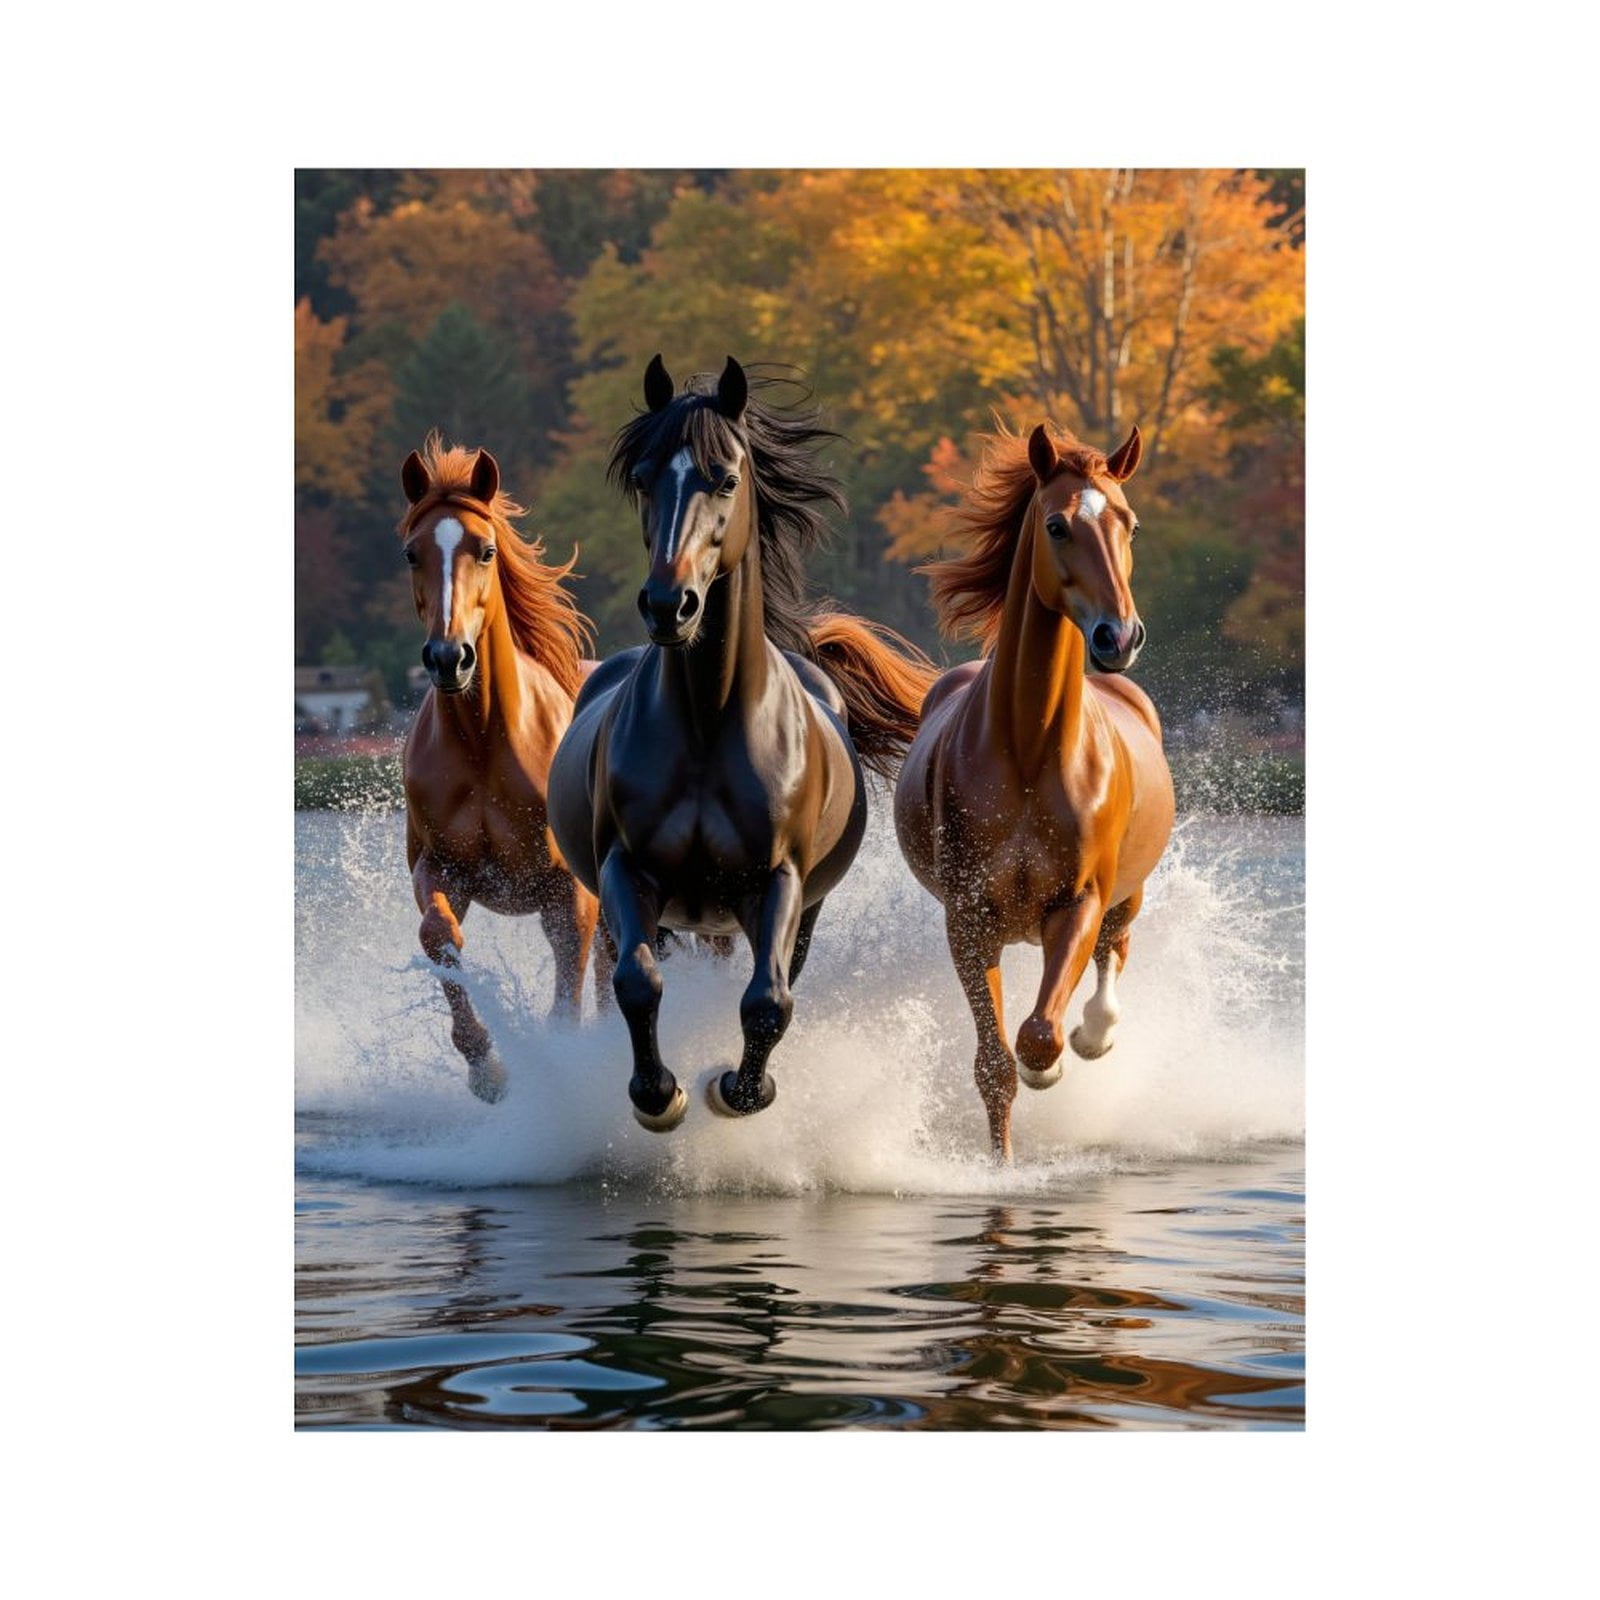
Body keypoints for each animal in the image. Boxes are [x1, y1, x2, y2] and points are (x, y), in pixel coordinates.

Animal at [397, 434, 603, 1102]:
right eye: (411, 553)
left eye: (484, 550)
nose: (448, 657)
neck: (486, 739)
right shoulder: (442, 868)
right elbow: (438, 936)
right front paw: (485, 1064)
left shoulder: (570, 893)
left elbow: (569, 994)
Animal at [548, 356, 938, 1132]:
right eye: (643, 476)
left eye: (725, 478)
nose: (669, 606)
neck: (708, 723)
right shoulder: (626, 869)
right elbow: (637, 981)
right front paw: (659, 1097)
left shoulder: (777, 882)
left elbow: (768, 1001)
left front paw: (736, 1090)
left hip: (780, 913)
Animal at [893, 421, 1174, 1162]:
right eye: (1056, 524)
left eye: (1130, 523)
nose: (1119, 636)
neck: (1030, 746)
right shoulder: (968, 916)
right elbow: (994, 1062)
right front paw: (1002, 1164)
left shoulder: (1077, 903)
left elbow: (1040, 1032)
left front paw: (1055, 1059)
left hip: (1127, 893)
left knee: (1115, 951)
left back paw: (1095, 1034)